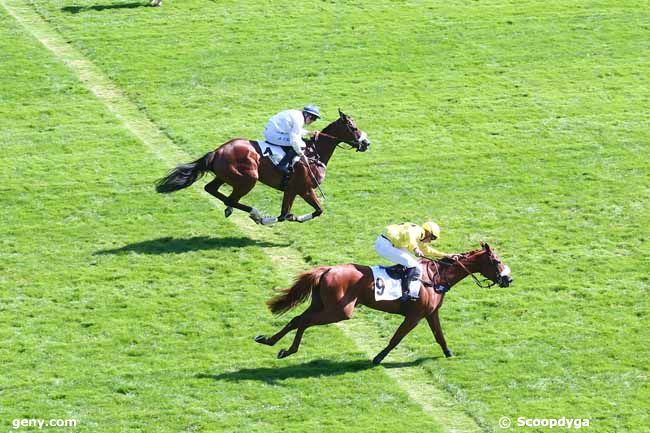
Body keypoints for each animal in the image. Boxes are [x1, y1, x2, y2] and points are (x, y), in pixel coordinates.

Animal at [153, 109, 370, 224]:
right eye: (353, 127)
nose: (366, 143)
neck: (313, 153)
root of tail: (217, 151)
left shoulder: (291, 189)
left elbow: (285, 213)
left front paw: (290, 216)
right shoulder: (305, 188)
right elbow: (317, 210)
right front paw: (291, 218)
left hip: (226, 176)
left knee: (212, 189)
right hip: (248, 179)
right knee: (231, 198)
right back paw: (255, 214)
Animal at [253, 241, 512, 362]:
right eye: (497, 261)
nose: (508, 279)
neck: (436, 277)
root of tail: (327, 269)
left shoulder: (430, 313)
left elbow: (439, 335)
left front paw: (449, 353)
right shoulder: (414, 316)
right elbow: (396, 338)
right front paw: (378, 357)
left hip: (321, 304)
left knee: (298, 319)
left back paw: (271, 342)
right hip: (339, 311)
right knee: (304, 322)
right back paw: (286, 348)